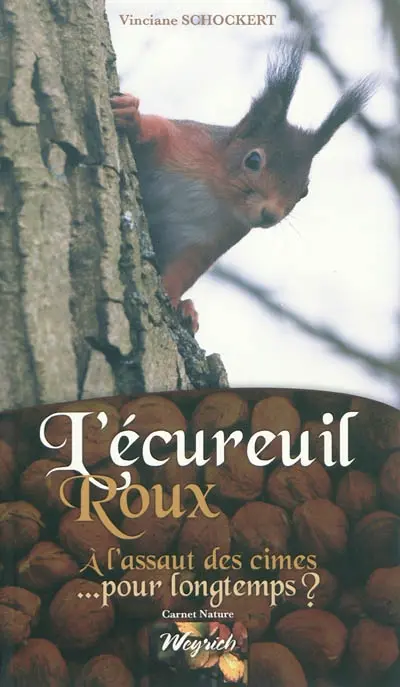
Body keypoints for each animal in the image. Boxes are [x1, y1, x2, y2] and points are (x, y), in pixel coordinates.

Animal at [111, 37, 373, 332]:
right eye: (253, 160)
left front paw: (177, 300)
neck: (216, 193)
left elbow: (183, 270)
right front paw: (132, 117)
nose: (270, 214)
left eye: (304, 191)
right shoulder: (183, 141)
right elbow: (156, 130)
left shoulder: (208, 242)